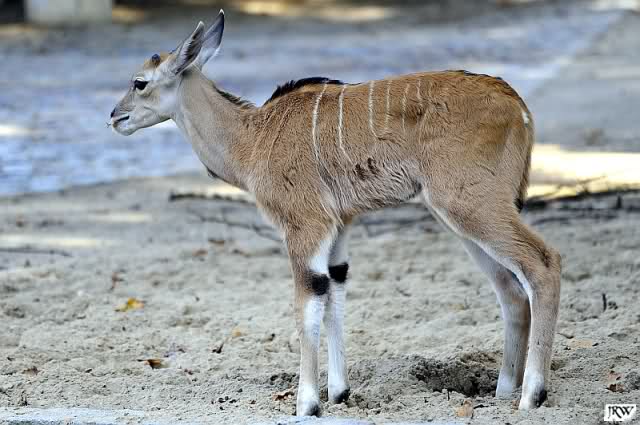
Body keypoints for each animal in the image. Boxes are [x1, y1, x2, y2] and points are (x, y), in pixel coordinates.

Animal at [109, 10, 561, 417]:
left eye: (140, 82)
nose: (115, 117)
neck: (253, 137)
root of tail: (517, 106)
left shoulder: (304, 225)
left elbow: (308, 303)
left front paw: (307, 403)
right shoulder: (339, 227)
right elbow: (334, 296)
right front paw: (339, 393)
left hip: (471, 206)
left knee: (543, 263)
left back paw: (531, 395)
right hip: (465, 218)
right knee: (511, 290)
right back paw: (503, 391)